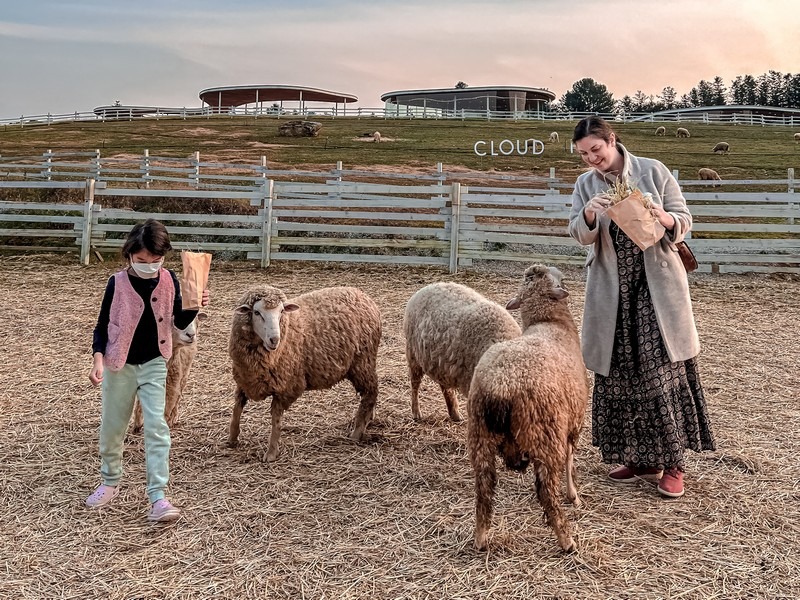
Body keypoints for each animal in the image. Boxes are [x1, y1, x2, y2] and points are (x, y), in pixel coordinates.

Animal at [227, 284, 380, 460]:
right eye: (257, 313)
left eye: (281, 311)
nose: (274, 339)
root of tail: (363, 296)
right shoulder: (245, 379)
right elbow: (237, 407)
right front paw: (232, 438)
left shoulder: (288, 386)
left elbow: (276, 420)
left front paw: (271, 452)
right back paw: (368, 419)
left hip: (362, 362)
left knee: (370, 393)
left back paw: (357, 431)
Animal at [466, 264, 592, 556]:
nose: (537, 267)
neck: (550, 322)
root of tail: (501, 386)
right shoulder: (574, 421)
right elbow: (570, 459)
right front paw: (574, 496)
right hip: (546, 434)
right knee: (547, 492)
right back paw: (567, 540)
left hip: (480, 437)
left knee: (483, 490)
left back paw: (481, 538)